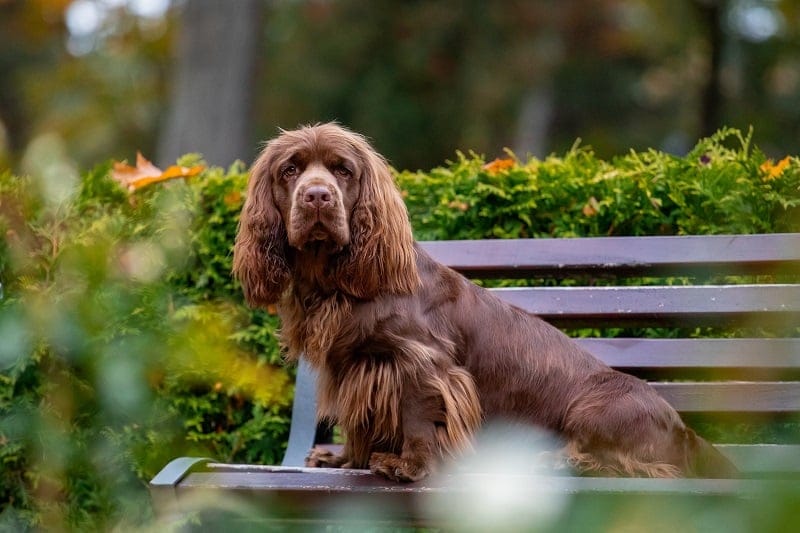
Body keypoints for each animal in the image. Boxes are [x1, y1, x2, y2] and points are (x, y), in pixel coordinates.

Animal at [231, 122, 736, 480]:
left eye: (342, 170)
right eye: (290, 170)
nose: (317, 197)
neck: (335, 280)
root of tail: (687, 431)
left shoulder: (420, 361)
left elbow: (418, 413)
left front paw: (408, 465)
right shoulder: (354, 367)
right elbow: (361, 421)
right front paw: (345, 461)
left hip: (594, 408)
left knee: (639, 467)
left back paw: (559, 462)